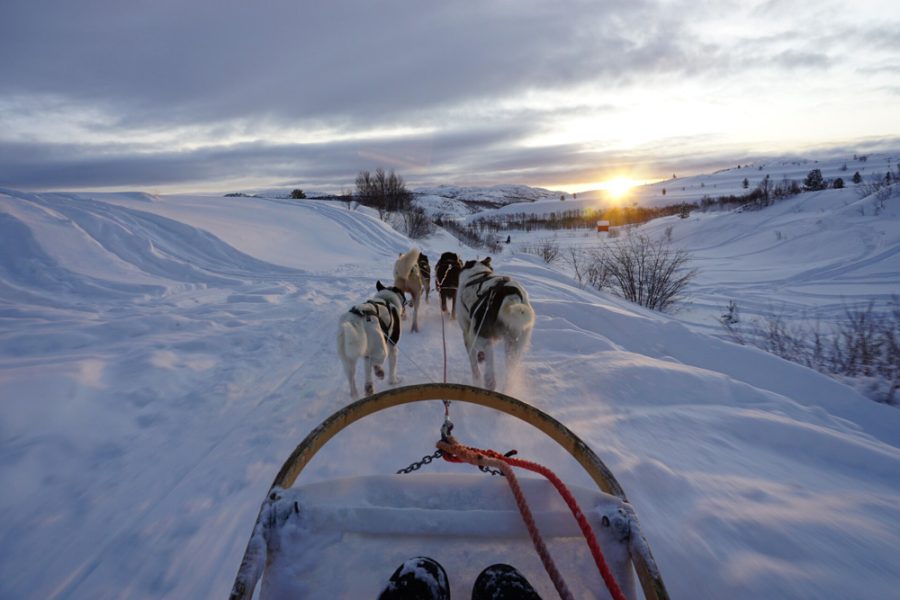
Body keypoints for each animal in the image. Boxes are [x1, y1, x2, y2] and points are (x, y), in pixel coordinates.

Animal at [458, 256, 536, 390]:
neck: (478, 273)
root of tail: (510, 295)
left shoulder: (467, 335)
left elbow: (474, 365)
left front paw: (476, 379)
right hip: (514, 346)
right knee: (509, 373)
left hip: (480, 337)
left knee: (489, 357)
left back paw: (489, 382)